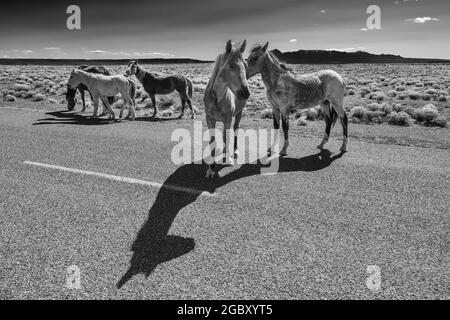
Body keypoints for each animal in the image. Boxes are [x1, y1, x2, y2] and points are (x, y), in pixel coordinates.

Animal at [203, 39, 250, 178]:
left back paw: (233, 152)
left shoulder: (228, 119)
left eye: (245, 65)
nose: (245, 93)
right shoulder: (210, 120)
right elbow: (213, 141)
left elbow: (226, 137)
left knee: (235, 130)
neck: (217, 98)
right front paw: (210, 168)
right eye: (231, 65)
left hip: (239, 114)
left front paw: (227, 159)